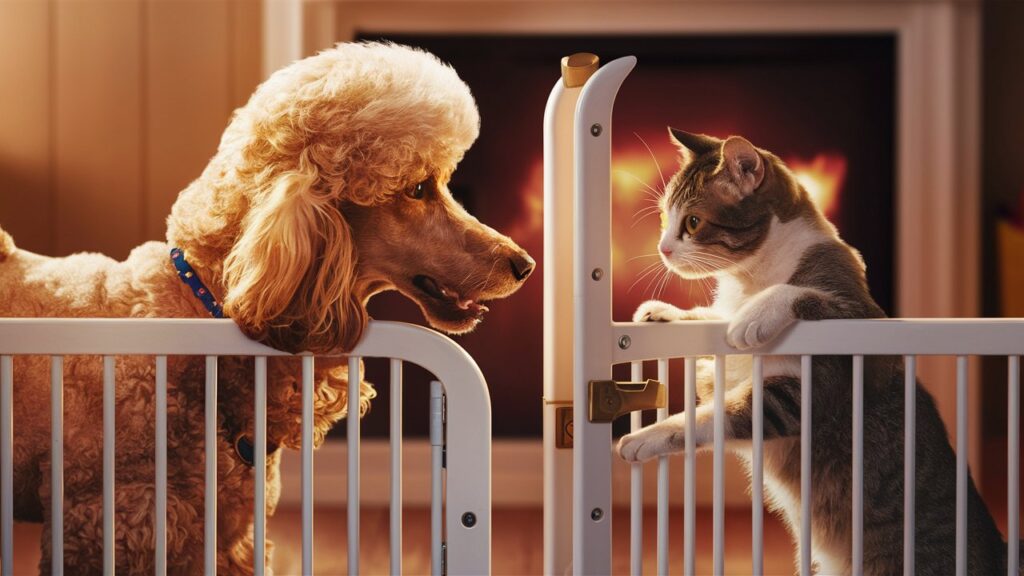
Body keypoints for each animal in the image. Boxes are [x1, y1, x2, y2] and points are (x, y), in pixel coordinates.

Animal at [614, 130, 1007, 573]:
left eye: (693, 222)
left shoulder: (835, 359)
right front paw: (665, 312)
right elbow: (711, 337)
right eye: (665, 217)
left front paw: (644, 436)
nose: (662, 249)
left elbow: (718, 408)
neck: (751, 278)